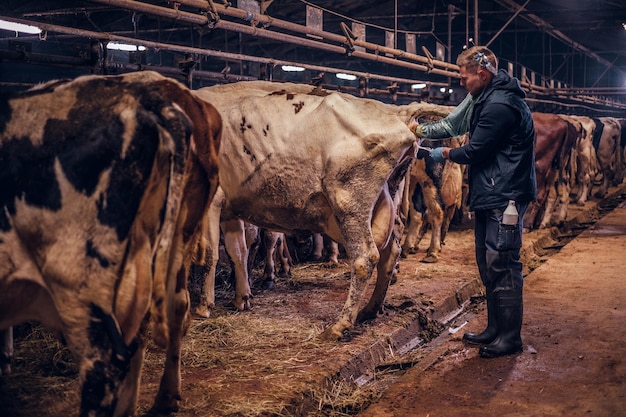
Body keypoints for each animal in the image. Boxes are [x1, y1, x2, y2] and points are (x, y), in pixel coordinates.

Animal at [190, 80, 448, 338]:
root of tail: (396, 111)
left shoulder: (211, 200)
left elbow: (209, 252)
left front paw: (203, 306)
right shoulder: (229, 208)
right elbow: (237, 251)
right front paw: (241, 298)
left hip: (349, 201)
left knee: (366, 257)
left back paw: (340, 324)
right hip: (387, 198)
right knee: (390, 252)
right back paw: (370, 309)